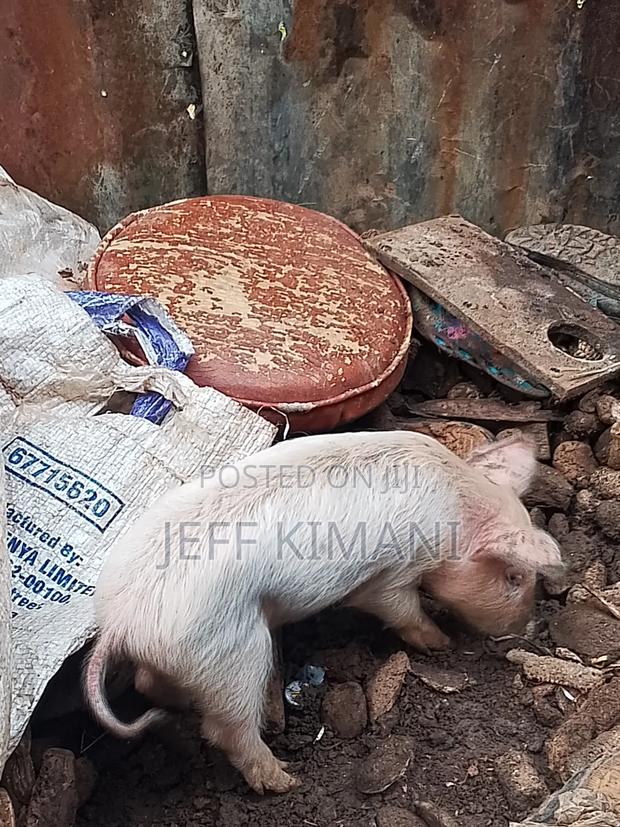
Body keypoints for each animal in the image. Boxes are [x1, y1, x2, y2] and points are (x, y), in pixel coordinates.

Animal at [84, 431, 562, 794]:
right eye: (514, 577)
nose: (527, 627)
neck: (458, 511)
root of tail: (121, 622)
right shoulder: (394, 571)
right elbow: (398, 607)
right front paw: (440, 643)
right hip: (232, 653)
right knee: (225, 728)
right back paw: (285, 781)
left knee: (148, 685)